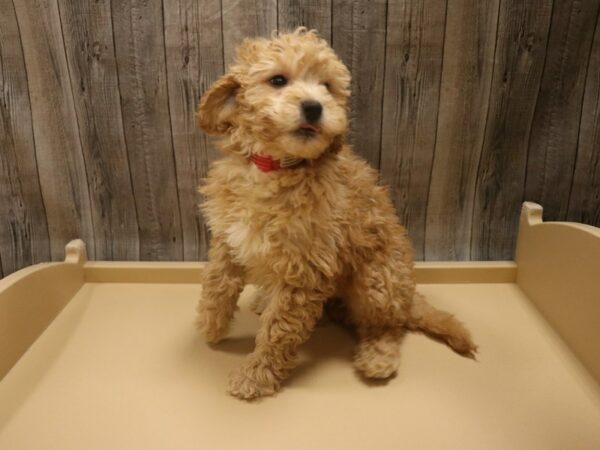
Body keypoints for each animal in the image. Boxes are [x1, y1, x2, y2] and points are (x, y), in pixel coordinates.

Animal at [195, 28, 476, 400]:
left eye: (327, 87)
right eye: (278, 80)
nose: (314, 107)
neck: (275, 168)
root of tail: (408, 298)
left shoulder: (304, 270)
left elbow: (277, 331)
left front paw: (255, 375)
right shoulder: (229, 235)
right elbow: (218, 280)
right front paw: (209, 324)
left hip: (378, 282)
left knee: (387, 324)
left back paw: (379, 355)